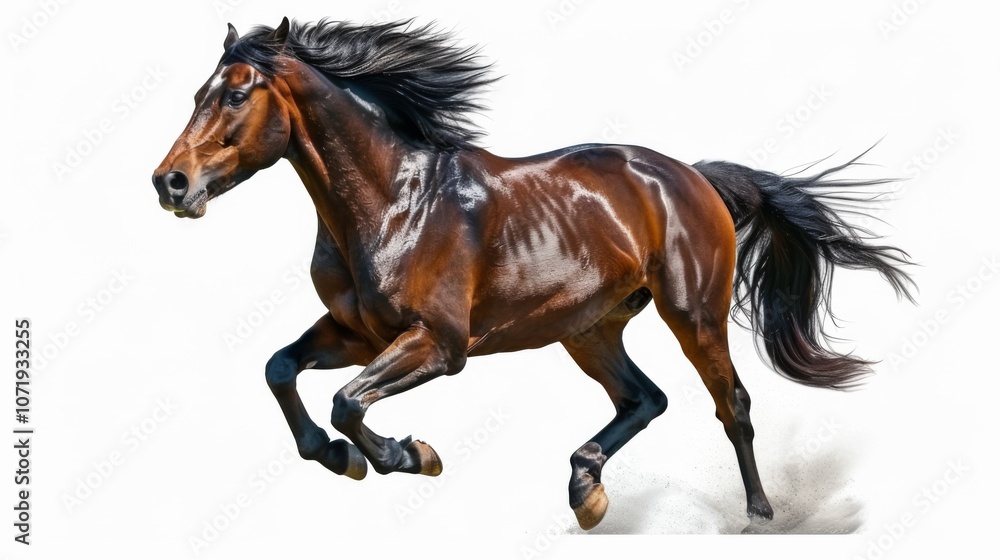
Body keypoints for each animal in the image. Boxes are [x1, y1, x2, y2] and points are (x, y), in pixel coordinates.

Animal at [152, 18, 914, 530]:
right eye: (197, 93)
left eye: (237, 95)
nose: (170, 183)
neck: (393, 202)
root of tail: (691, 176)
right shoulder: (357, 333)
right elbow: (282, 369)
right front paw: (340, 457)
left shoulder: (439, 345)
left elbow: (348, 401)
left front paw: (409, 453)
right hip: (588, 328)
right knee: (645, 398)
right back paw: (586, 489)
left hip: (691, 314)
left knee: (734, 405)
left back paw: (757, 514)